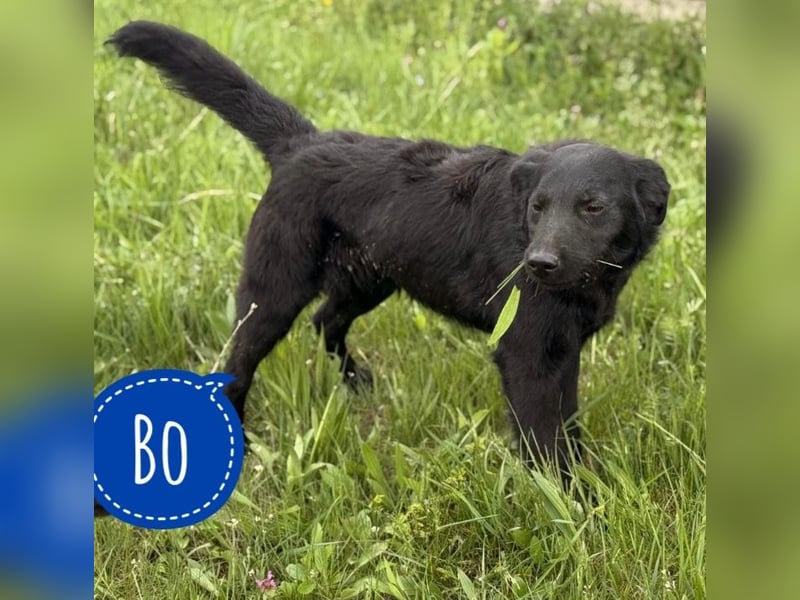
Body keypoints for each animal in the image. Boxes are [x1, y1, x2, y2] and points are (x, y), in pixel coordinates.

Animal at [107, 21, 669, 476]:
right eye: (537, 207)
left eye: (593, 207)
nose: (539, 264)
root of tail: (300, 145)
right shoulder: (526, 353)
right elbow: (545, 440)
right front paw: (568, 503)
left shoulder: (564, 351)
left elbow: (566, 424)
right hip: (274, 292)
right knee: (238, 361)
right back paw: (241, 438)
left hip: (370, 278)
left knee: (325, 321)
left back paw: (355, 382)